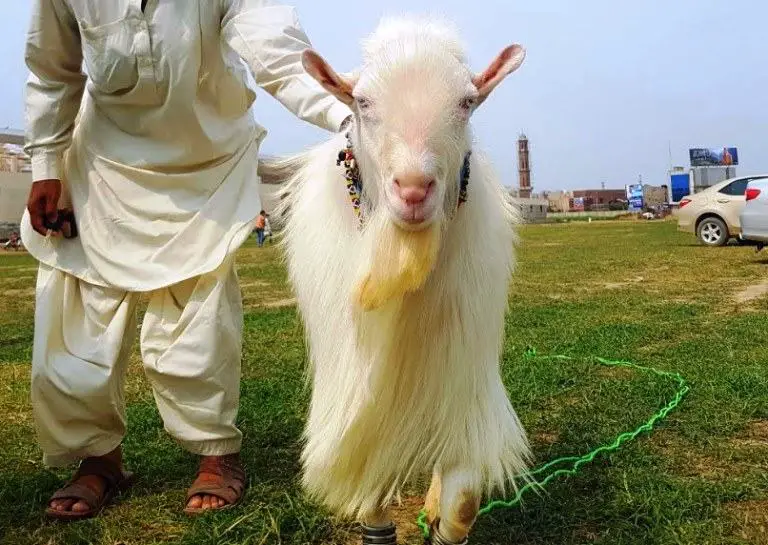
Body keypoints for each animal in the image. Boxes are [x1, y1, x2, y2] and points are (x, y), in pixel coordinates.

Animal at [267, 16, 532, 544]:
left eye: (466, 101)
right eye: (363, 102)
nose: (413, 190)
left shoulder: (462, 382)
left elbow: (463, 499)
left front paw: (442, 522)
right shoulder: (361, 410)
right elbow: (371, 493)